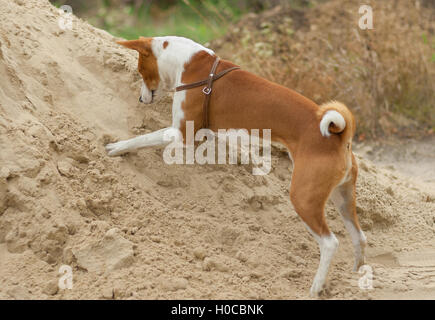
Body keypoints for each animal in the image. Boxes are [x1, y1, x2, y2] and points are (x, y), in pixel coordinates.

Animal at [106, 35, 368, 298]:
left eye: (141, 70)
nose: (141, 99)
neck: (192, 64)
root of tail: (340, 138)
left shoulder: (180, 134)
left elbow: (141, 139)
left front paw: (117, 147)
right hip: (342, 198)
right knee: (360, 237)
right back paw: (358, 278)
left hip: (304, 198)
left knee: (330, 243)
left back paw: (316, 287)